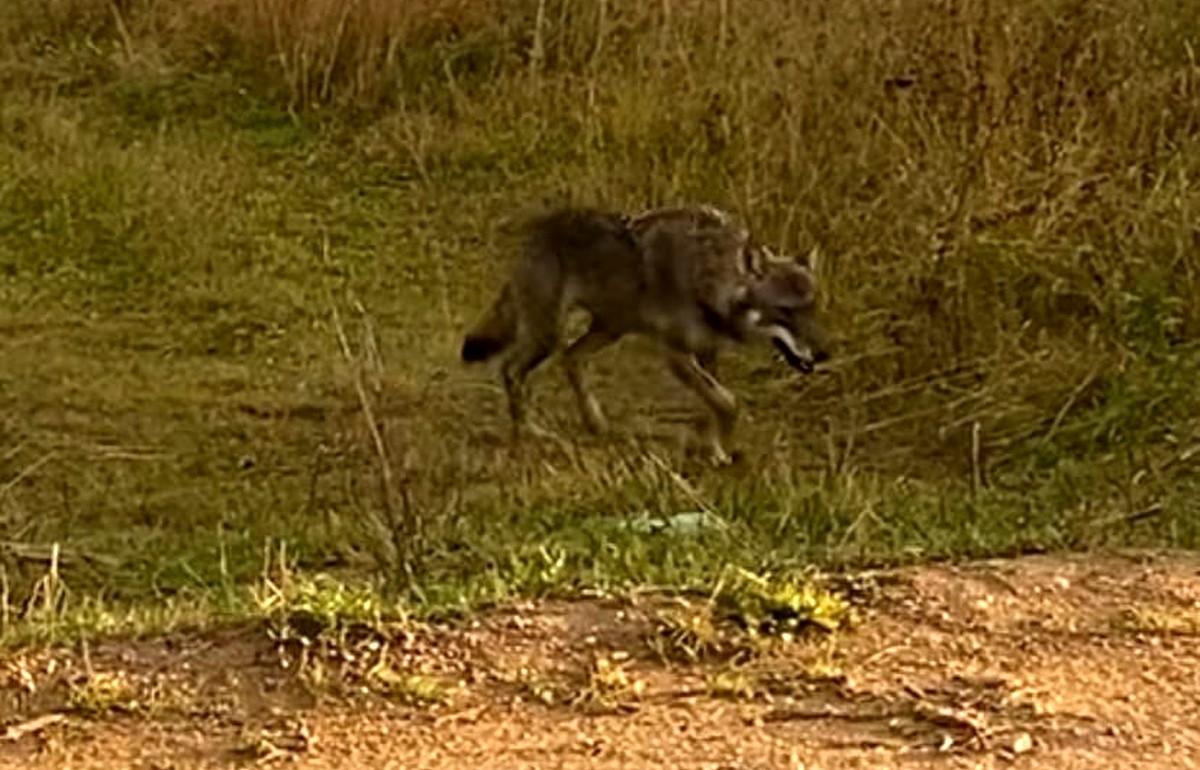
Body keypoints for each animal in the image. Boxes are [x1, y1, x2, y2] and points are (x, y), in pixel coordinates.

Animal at [453, 202, 830, 460]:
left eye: (813, 308)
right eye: (785, 311)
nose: (824, 353)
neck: (709, 274)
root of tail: (539, 230)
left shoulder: (707, 351)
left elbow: (718, 401)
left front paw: (719, 447)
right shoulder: (675, 355)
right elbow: (728, 401)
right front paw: (721, 451)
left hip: (608, 330)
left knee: (570, 359)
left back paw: (595, 423)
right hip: (548, 336)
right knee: (511, 370)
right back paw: (529, 432)